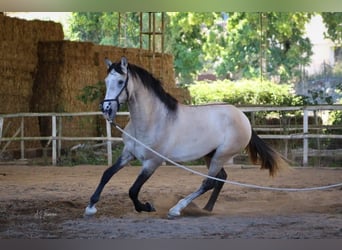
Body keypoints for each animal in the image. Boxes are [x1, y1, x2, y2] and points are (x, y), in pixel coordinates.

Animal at [85, 57, 286, 218]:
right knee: (221, 178)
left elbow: (133, 190)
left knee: (209, 182)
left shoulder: (152, 162)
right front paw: (90, 206)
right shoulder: (129, 154)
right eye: (106, 81)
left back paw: (176, 209)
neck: (153, 120)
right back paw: (206, 209)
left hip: (221, 155)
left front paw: (147, 207)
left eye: (120, 82)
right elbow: (107, 174)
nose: (106, 109)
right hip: (211, 154)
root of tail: (243, 117)